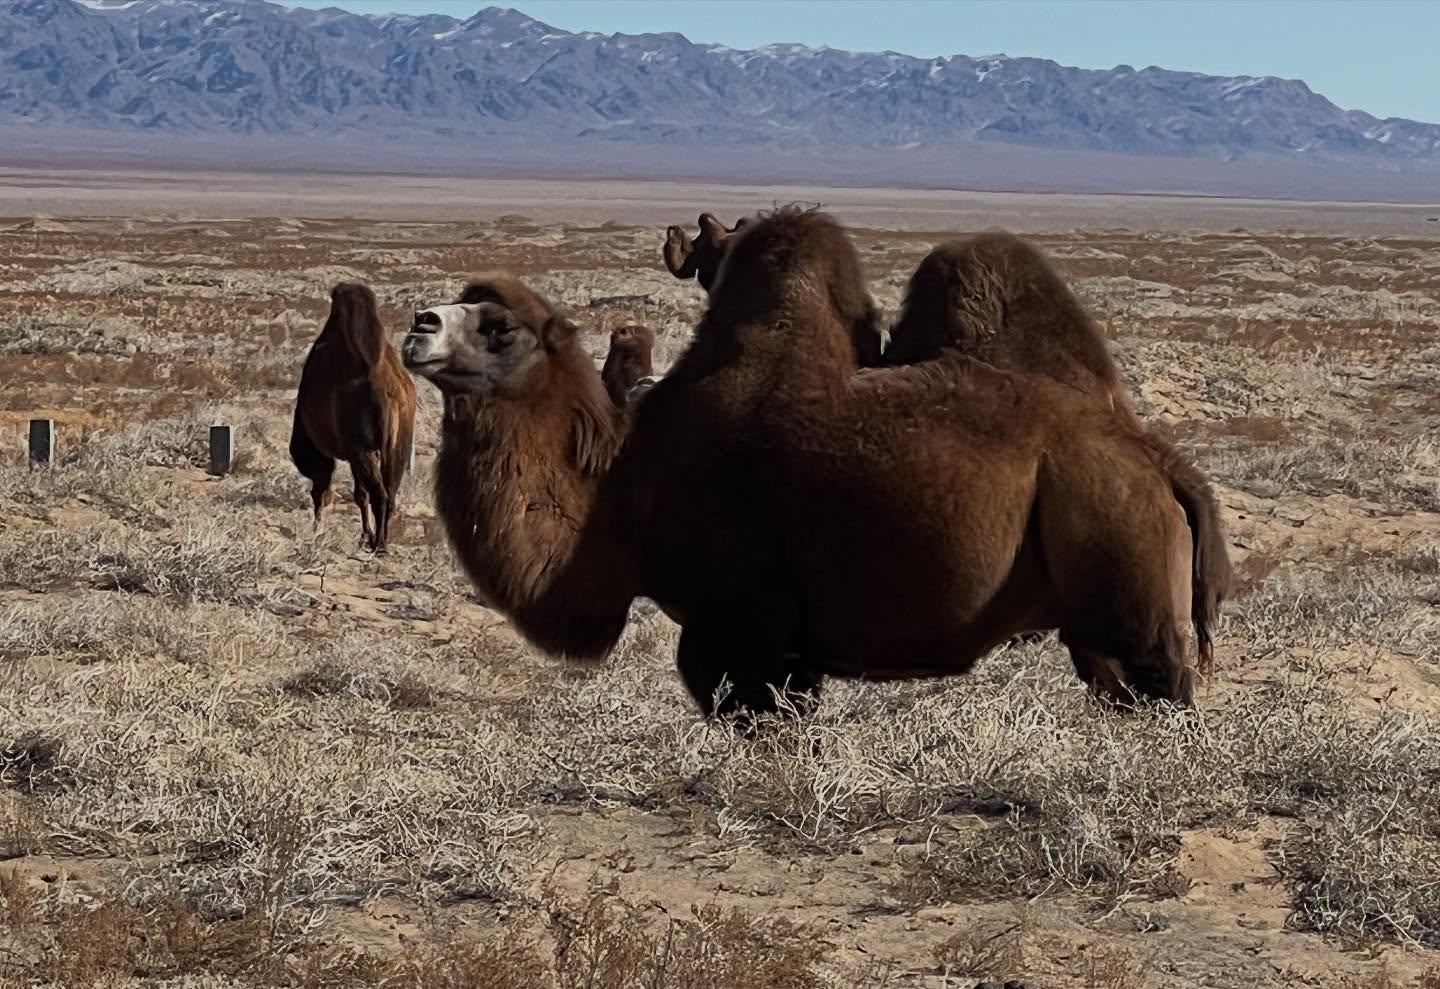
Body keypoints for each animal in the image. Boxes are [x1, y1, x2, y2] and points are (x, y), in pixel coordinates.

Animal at [290, 281, 416, 553]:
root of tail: (388, 393)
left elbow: (357, 492)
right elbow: (360, 493)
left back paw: (379, 544)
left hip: (364, 449)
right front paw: (363, 536)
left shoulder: (348, 450)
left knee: (380, 494)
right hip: (397, 447)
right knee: (390, 493)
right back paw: (381, 541)